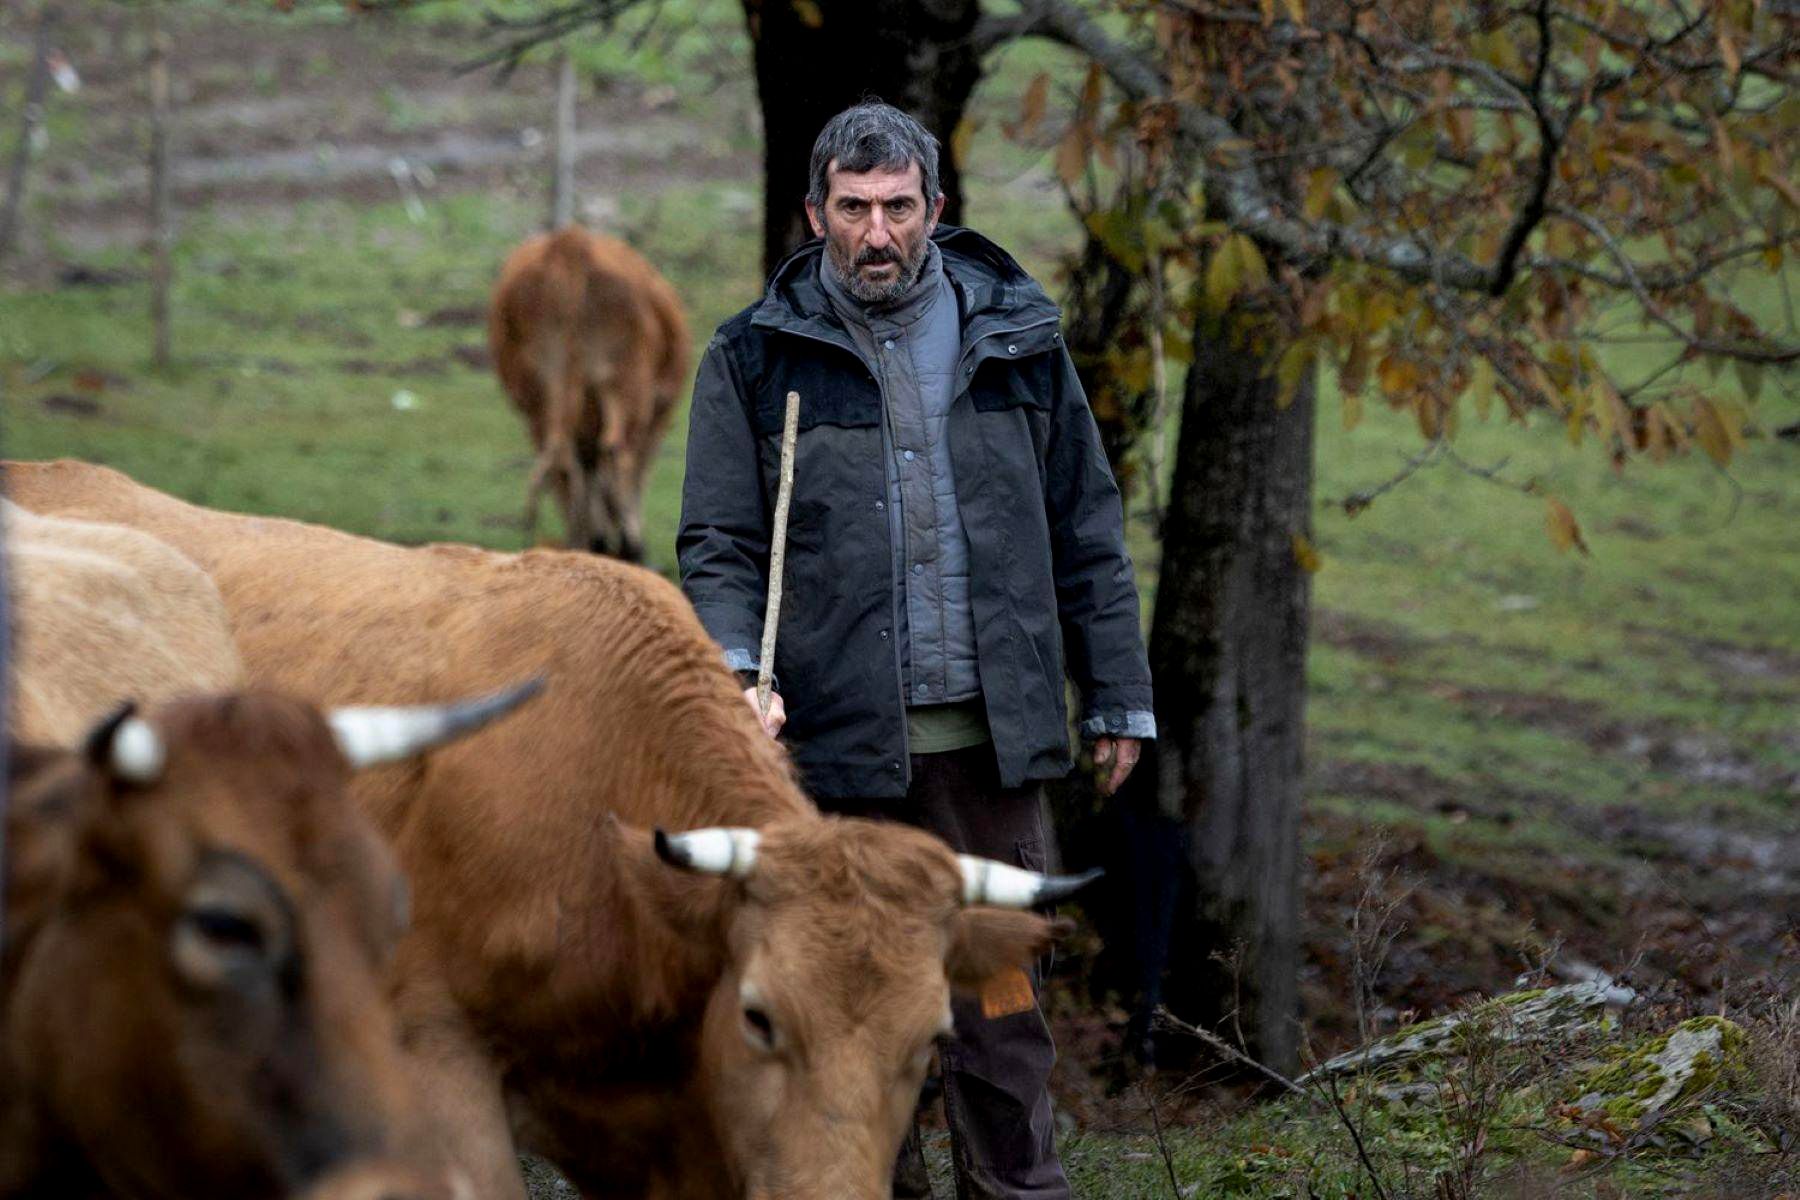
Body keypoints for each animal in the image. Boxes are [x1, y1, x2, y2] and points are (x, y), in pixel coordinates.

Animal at [489, 226, 691, 564]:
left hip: (542, 400)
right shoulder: (655, 420)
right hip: (625, 388)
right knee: (615, 454)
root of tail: (569, 243)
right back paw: (628, 546)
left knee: (564, 462)